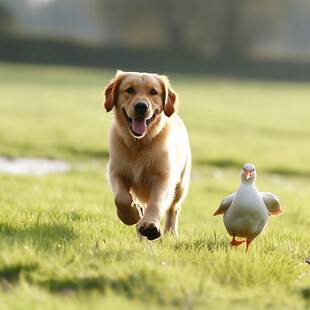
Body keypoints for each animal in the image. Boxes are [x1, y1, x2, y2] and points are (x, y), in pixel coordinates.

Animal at [104, 71, 190, 241]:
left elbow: (156, 202)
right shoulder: (115, 171)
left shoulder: (164, 176)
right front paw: (133, 215)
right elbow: (121, 198)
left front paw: (151, 225)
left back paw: (171, 232)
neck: (139, 144)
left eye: (153, 92)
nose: (141, 106)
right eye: (129, 90)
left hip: (181, 184)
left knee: (174, 207)